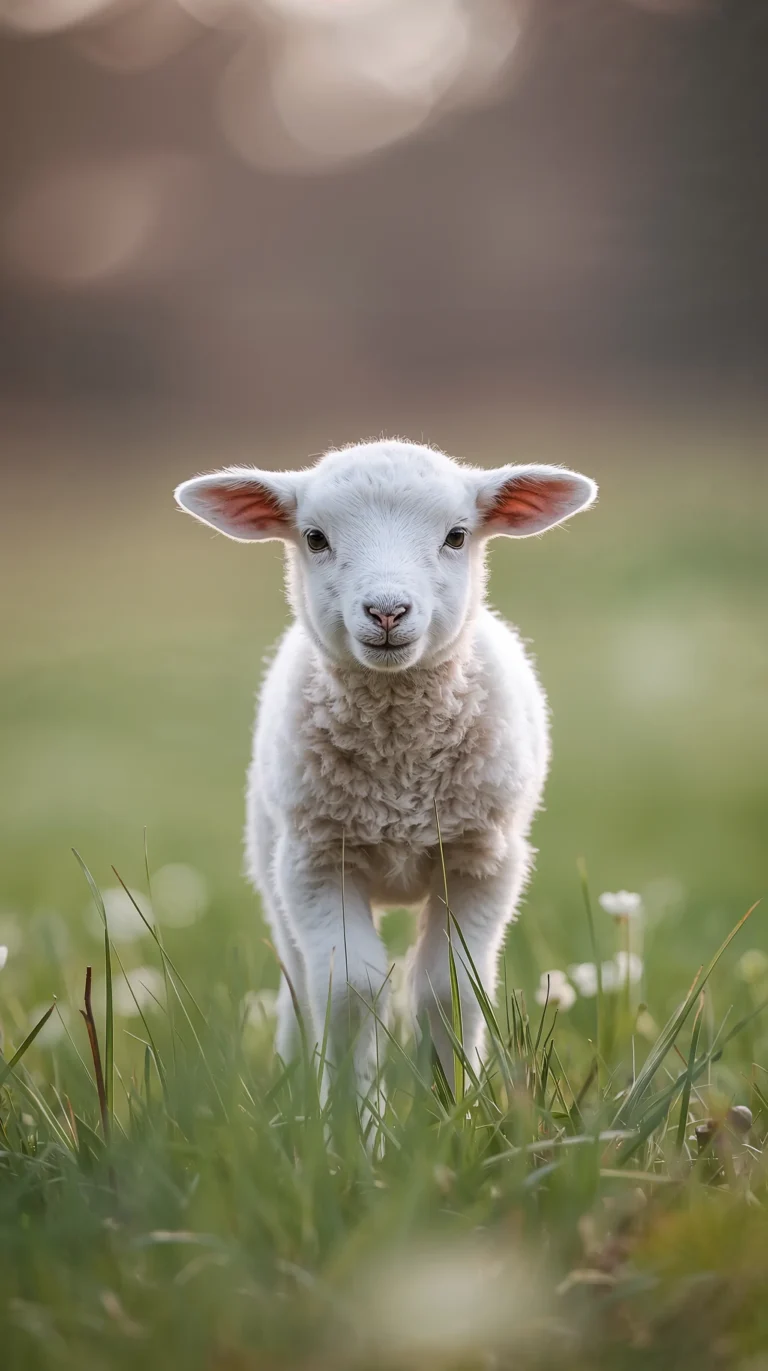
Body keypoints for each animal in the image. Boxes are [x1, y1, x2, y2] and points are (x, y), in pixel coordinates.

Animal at [175, 439, 597, 1097]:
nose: (388, 611)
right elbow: (350, 989)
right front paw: (350, 1117)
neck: (400, 775)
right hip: (273, 863)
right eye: (315, 538)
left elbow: (450, 991)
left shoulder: (482, 859)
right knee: (298, 984)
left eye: (457, 536)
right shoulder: (318, 861)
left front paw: (452, 1106)